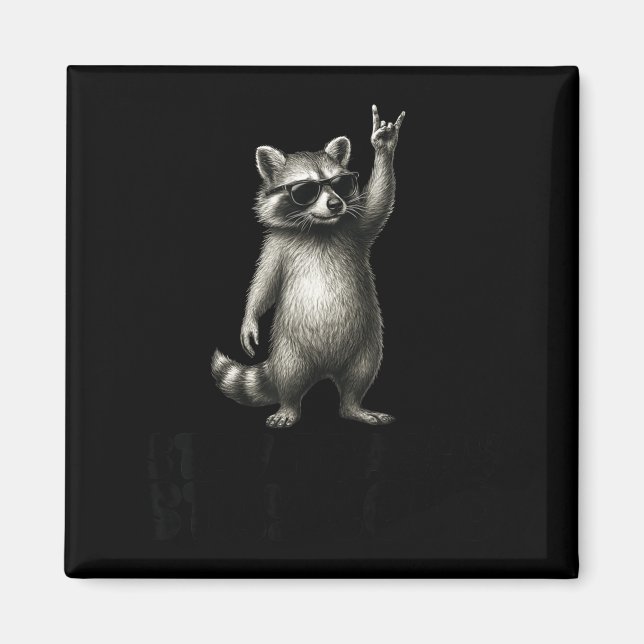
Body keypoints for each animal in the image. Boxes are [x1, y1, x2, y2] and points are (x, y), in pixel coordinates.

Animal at [212, 105, 405, 428]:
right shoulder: (276, 246)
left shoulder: (356, 229)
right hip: (289, 348)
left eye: (341, 184)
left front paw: (383, 145)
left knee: (360, 374)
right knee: (290, 378)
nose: (335, 204)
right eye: (305, 190)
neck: (317, 227)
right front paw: (249, 317)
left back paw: (354, 406)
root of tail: (324, 369)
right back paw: (289, 407)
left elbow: (379, 202)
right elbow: (264, 282)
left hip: (367, 343)